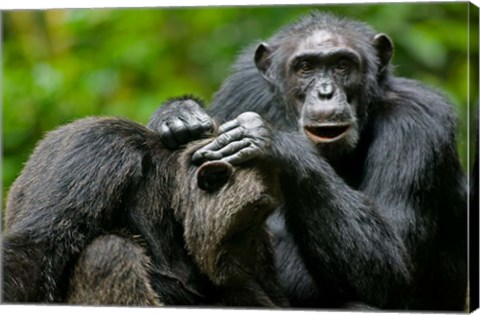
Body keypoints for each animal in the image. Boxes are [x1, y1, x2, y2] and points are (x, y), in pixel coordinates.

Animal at [1, 107, 286, 308]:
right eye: (255, 212)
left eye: (263, 215)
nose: (251, 246)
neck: (167, 187)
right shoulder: (96, 155)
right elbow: (32, 250)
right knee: (110, 251)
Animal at [150, 11, 464, 312]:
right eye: (305, 68)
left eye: (342, 65)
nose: (325, 92)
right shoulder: (241, 89)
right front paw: (178, 114)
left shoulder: (417, 123)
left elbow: (392, 268)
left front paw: (270, 139)